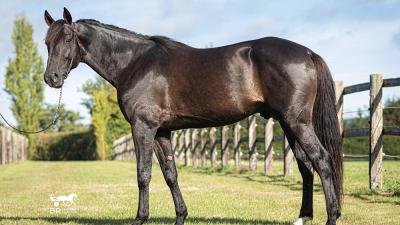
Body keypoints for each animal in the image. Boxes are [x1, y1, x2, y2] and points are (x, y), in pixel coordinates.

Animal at [43, 7, 344, 225]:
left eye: (68, 39)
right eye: (47, 43)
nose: (51, 78)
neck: (135, 63)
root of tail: (308, 53)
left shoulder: (143, 127)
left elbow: (143, 174)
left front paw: (140, 218)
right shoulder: (161, 131)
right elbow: (170, 174)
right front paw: (181, 217)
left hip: (297, 122)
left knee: (321, 160)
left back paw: (332, 217)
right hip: (288, 124)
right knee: (306, 167)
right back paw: (303, 217)